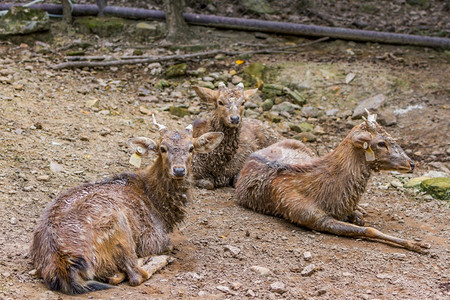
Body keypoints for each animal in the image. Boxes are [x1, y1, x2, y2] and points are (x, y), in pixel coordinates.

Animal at [29, 115, 223, 296]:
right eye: (162, 148)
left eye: (191, 148)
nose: (179, 170)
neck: (159, 207)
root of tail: (62, 263)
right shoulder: (152, 238)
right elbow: (167, 245)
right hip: (118, 226)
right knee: (136, 275)